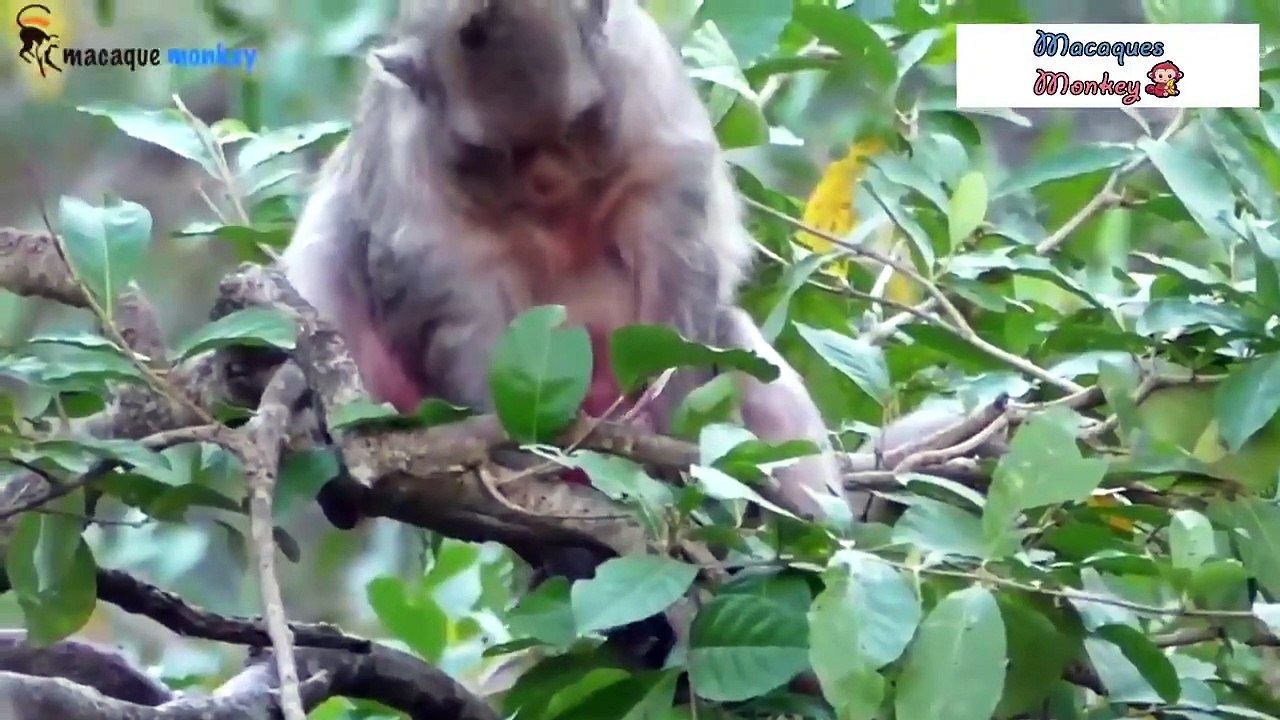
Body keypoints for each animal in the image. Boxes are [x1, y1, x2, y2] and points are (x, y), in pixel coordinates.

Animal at [278, 0, 845, 667]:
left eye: (573, 128)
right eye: (501, 152)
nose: (548, 179)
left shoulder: (647, 101)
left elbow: (681, 284)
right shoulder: (412, 176)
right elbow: (456, 316)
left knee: (734, 343)